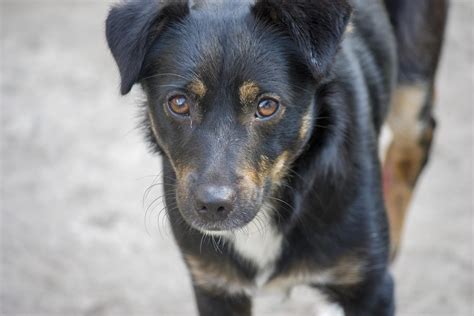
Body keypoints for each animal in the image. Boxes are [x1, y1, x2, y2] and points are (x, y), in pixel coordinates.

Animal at [104, 0, 448, 314]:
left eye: (267, 106)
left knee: (416, 141)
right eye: (178, 103)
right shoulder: (215, 287)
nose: (213, 205)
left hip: (412, 86)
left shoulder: (372, 290)